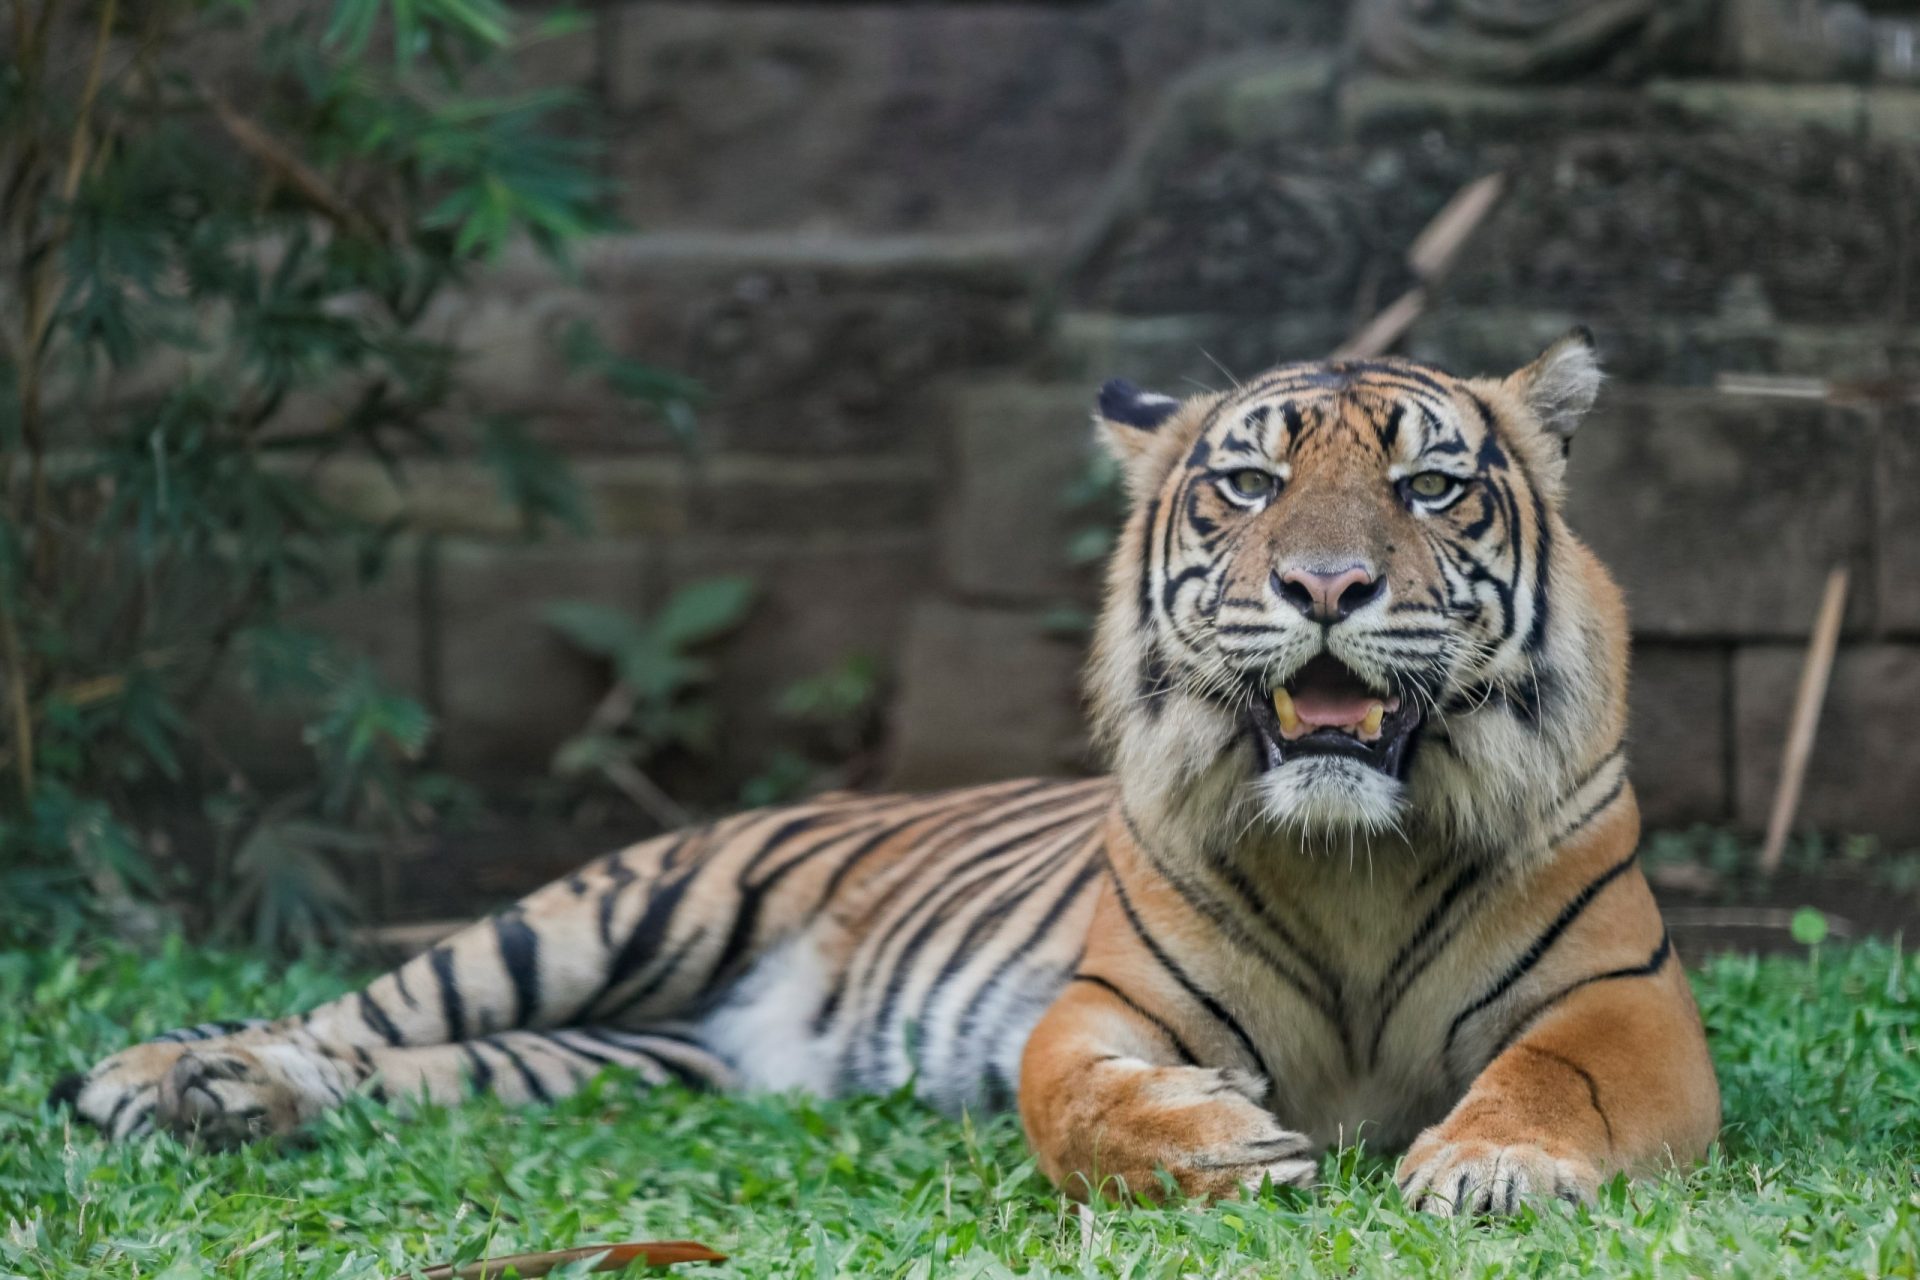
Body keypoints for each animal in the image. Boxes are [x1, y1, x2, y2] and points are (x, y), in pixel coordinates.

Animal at [54, 333, 1720, 1214]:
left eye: (1429, 486)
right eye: (1249, 484)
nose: (1324, 586)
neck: (1357, 850)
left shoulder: (1627, 1007)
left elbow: (1550, 1076)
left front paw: (1488, 1169)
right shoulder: (1102, 1007)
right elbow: (1077, 1099)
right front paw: (1224, 1145)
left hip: (646, 1053)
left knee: (431, 1069)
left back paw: (223, 1100)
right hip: (610, 910)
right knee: (361, 1012)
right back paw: (172, 1078)